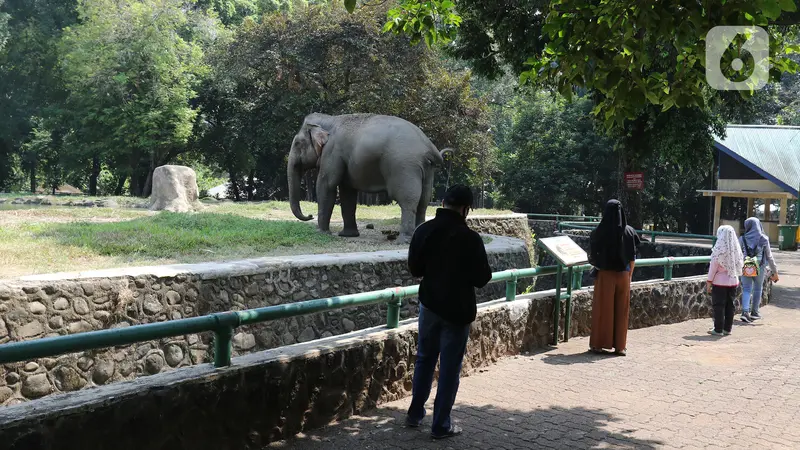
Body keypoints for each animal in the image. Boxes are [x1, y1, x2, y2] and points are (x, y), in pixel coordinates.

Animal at [288, 114, 454, 244]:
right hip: (427, 169)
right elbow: (347, 193)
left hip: (404, 166)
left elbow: (327, 185)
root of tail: (428, 146)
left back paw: (403, 240)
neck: (328, 119)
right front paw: (347, 235)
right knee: (424, 201)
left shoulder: (332, 152)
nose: (309, 215)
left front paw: (322, 233)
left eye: (297, 143)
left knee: (408, 200)